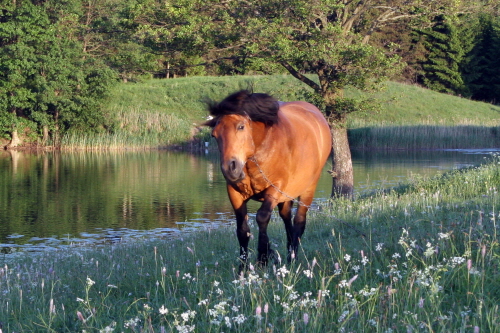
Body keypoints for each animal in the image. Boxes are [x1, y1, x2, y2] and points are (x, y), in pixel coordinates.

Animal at [205, 89, 330, 266]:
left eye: (241, 126)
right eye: (214, 135)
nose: (230, 168)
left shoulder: (276, 187)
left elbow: (262, 217)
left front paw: (263, 255)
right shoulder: (234, 193)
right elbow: (242, 230)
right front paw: (243, 268)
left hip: (308, 188)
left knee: (299, 221)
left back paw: (292, 258)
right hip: (287, 195)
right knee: (286, 218)